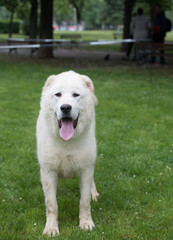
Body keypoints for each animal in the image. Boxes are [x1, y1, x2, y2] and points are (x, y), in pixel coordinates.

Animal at [36, 70, 98, 237]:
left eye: (76, 95)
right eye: (58, 94)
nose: (65, 108)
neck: (67, 142)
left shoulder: (85, 169)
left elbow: (84, 201)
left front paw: (86, 223)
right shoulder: (49, 172)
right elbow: (51, 204)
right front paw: (51, 228)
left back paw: (94, 193)